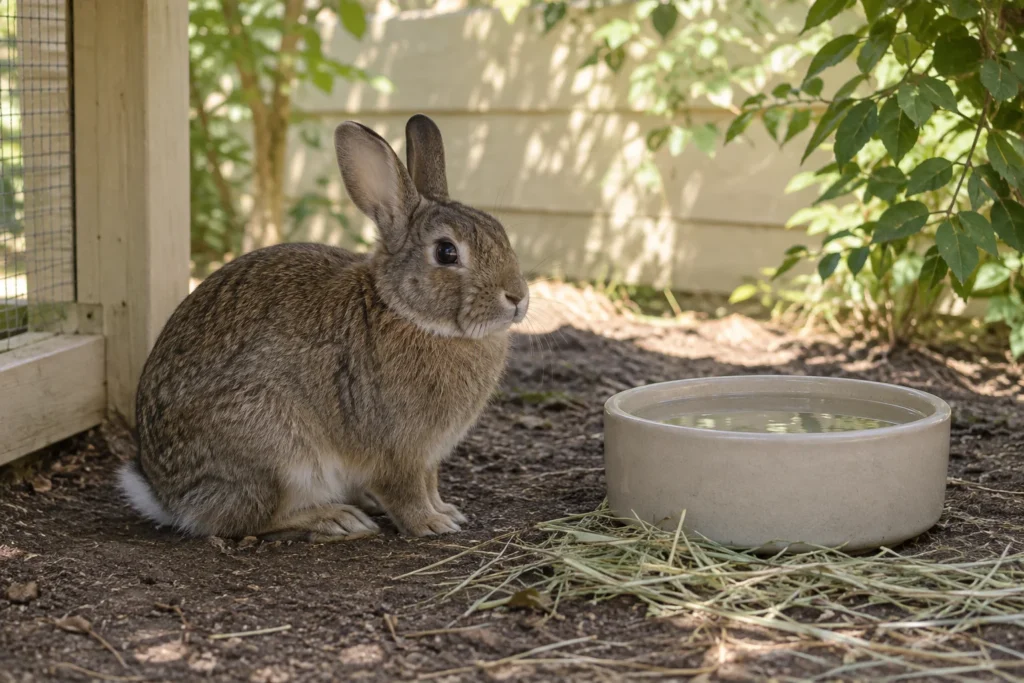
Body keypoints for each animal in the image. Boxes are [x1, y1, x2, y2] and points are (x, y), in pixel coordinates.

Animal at [118, 114, 529, 542]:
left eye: (499, 231)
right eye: (446, 252)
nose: (517, 297)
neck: (406, 313)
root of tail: (167, 497)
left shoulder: (429, 457)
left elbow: (430, 484)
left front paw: (447, 511)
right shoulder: (398, 452)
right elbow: (406, 492)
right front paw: (431, 524)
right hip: (276, 453)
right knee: (249, 519)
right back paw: (336, 519)